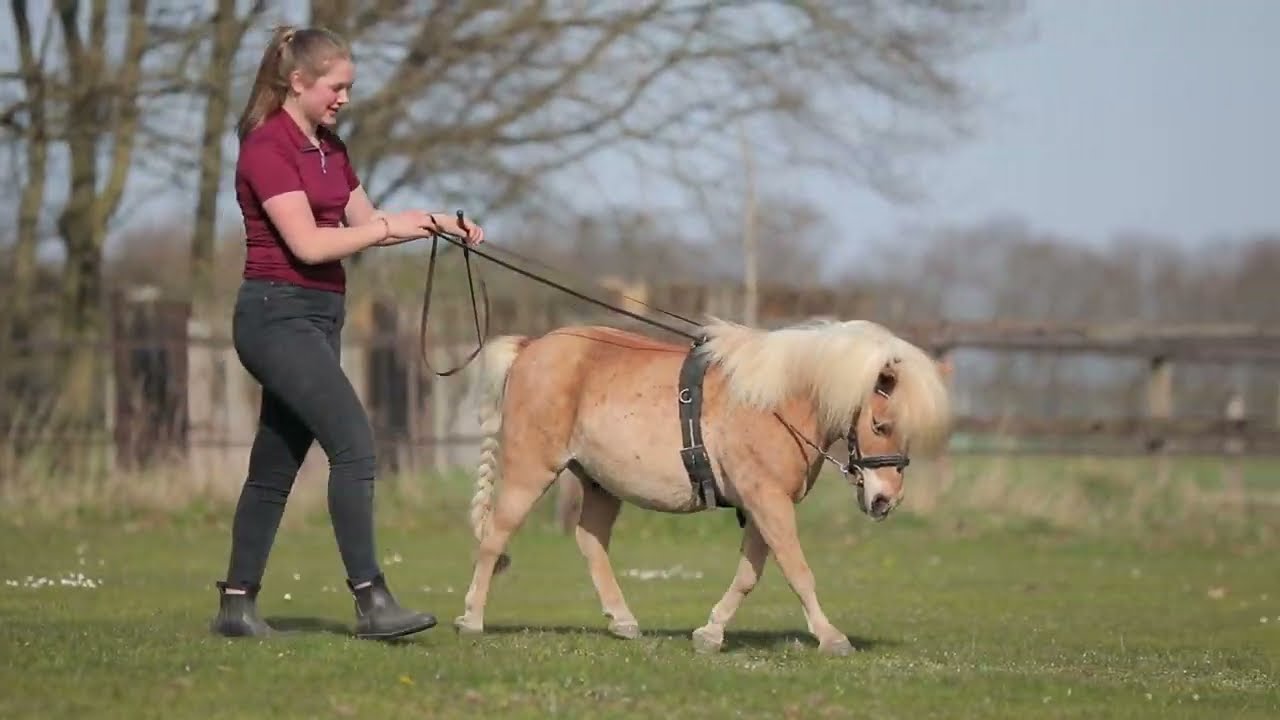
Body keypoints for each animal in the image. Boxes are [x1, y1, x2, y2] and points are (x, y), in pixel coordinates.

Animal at [453, 316, 952, 653]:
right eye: (881, 424)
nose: (886, 500)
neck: (777, 402)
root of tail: (531, 346)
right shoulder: (768, 501)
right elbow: (798, 571)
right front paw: (830, 636)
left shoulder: (760, 506)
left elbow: (750, 575)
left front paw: (711, 632)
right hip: (530, 468)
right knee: (494, 536)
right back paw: (472, 618)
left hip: (598, 483)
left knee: (590, 542)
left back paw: (622, 620)